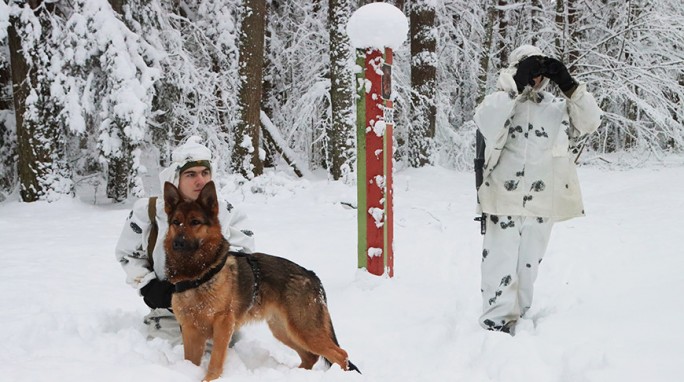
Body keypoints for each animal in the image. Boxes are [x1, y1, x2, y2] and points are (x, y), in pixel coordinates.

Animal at [164, 181, 360, 380]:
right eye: (176, 222)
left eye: (195, 222)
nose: (178, 243)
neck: (197, 275)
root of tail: (312, 275)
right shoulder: (190, 330)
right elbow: (190, 361)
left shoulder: (223, 325)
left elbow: (215, 361)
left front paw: (209, 379)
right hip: (283, 330)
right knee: (311, 356)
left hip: (304, 330)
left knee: (341, 355)